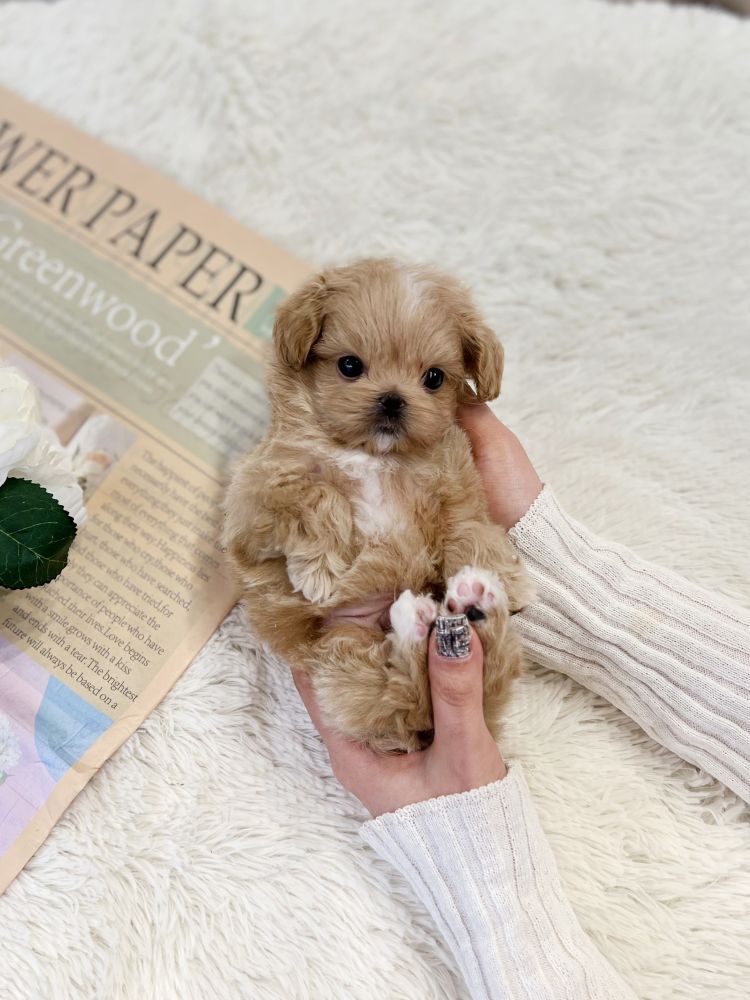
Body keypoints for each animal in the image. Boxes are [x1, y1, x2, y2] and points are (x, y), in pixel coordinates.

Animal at [222, 258, 533, 752]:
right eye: (349, 366)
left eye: (434, 378)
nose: (392, 399)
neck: (375, 455)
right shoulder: (255, 495)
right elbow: (316, 492)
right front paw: (321, 570)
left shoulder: (456, 489)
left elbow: (470, 528)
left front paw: (508, 577)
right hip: (342, 654)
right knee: (397, 691)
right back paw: (422, 620)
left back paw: (472, 606)